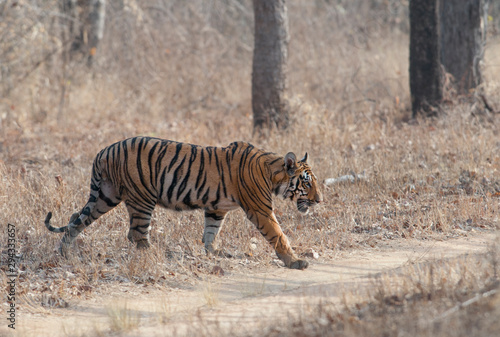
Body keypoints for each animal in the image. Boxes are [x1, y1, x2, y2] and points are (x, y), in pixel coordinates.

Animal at [45, 135, 322, 270]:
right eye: (307, 183)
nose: (319, 200)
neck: (272, 173)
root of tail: (104, 151)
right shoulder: (260, 209)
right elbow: (278, 235)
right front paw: (295, 262)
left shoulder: (216, 208)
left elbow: (211, 232)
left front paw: (215, 252)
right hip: (142, 198)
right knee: (136, 234)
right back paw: (153, 253)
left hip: (106, 196)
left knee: (75, 221)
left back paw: (64, 251)